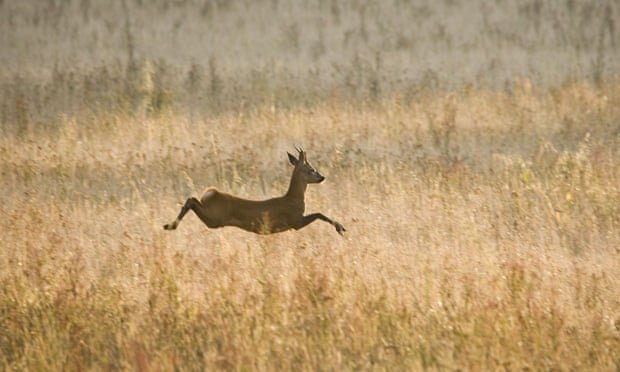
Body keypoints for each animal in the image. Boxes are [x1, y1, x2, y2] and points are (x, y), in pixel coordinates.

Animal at [162, 148, 346, 235]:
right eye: (311, 169)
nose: (322, 177)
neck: (294, 199)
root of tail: (211, 193)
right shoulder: (295, 221)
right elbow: (319, 214)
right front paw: (340, 227)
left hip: (213, 218)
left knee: (191, 199)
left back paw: (168, 225)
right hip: (215, 219)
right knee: (192, 200)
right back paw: (171, 225)